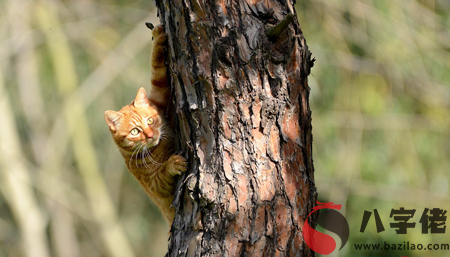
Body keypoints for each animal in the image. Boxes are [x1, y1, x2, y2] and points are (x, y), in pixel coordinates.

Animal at [104, 25, 185, 223]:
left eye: (150, 120)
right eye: (135, 131)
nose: (150, 134)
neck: (160, 145)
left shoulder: (160, 95)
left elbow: (157, 70)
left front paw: (158, 38)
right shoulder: (155, 185)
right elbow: (163, 173)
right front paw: (172, 164)